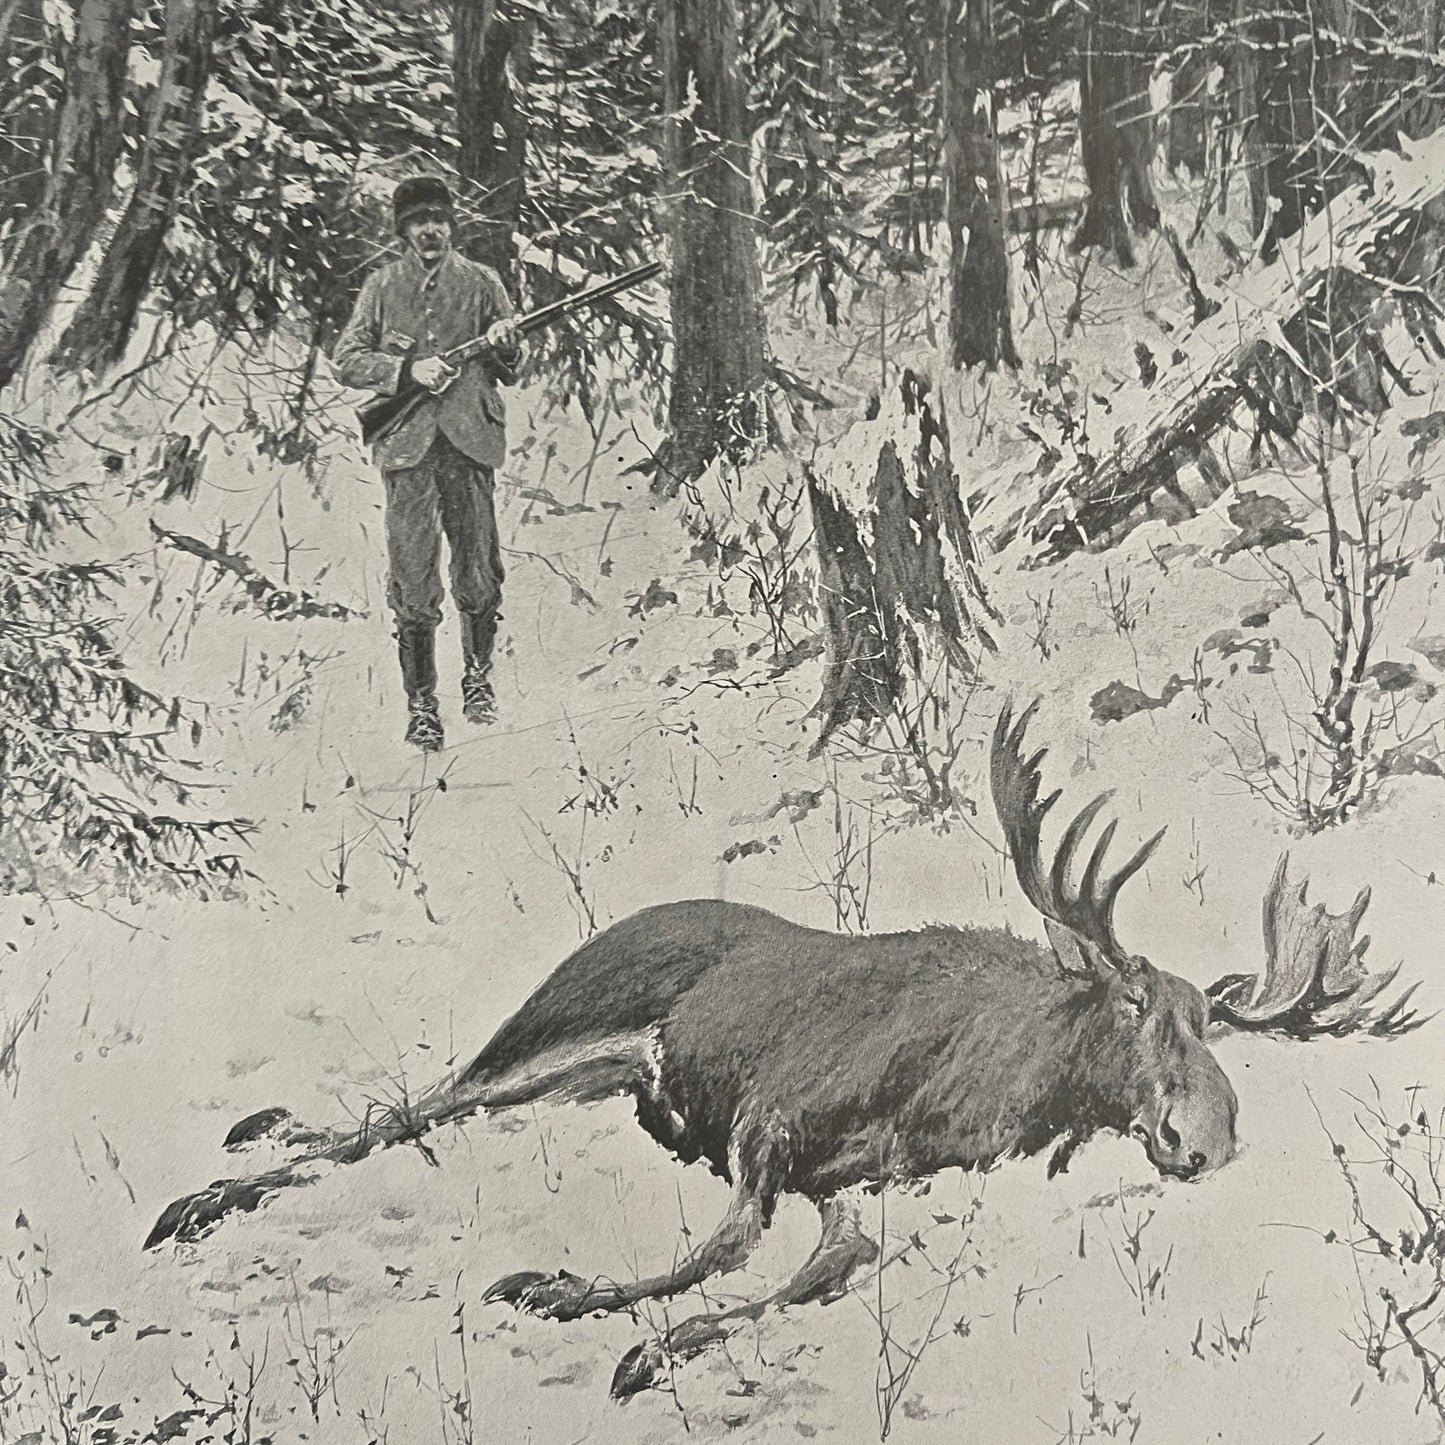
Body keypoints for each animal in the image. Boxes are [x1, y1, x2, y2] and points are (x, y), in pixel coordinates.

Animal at [145, 700, 1423, 1400]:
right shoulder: (766, 1119)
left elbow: (826, 1257)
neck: (959, 1095)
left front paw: (642, 1337)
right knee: (417, 1100)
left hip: (595, 1069)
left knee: (430, 1106)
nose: (1206, 1134)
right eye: (1124, 1002)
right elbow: (723, 1243)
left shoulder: (846, 1174)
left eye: (1208, 1023)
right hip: (566, 1015)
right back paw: (200, 1193)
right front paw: (570, 1297)